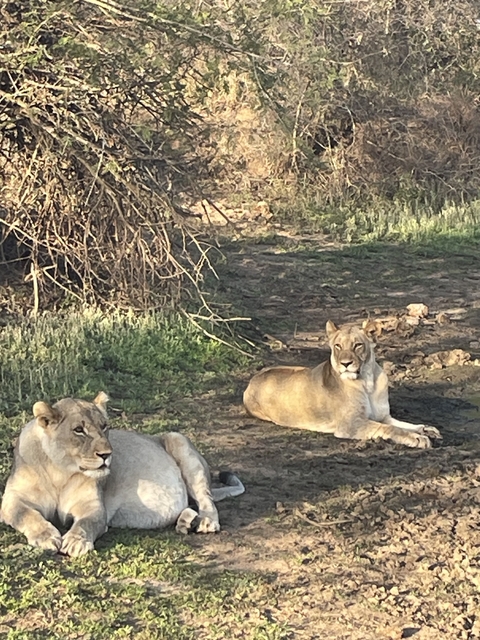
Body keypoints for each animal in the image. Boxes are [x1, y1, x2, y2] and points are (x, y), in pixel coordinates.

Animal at [0, 392, 244, 557]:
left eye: (104, 426)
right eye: (79, 430)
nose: (106, 454)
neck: (59, 472)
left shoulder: (94, 507)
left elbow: (85, 523)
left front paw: (76, 542)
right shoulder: (12, 500)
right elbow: (26, 515)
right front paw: (47, 537)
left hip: (179, 440)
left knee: (206, 499)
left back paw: (205, 521)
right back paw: (185, 522)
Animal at [244, 320, 442, 448]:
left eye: (358, 345)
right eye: (338, 346)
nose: (345, 363)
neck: (368, 382)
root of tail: (253, 379)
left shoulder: (384, 416)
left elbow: (403, 424)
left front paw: (427, 429)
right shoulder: (351, 424)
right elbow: (391, 428)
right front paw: (418, 438)